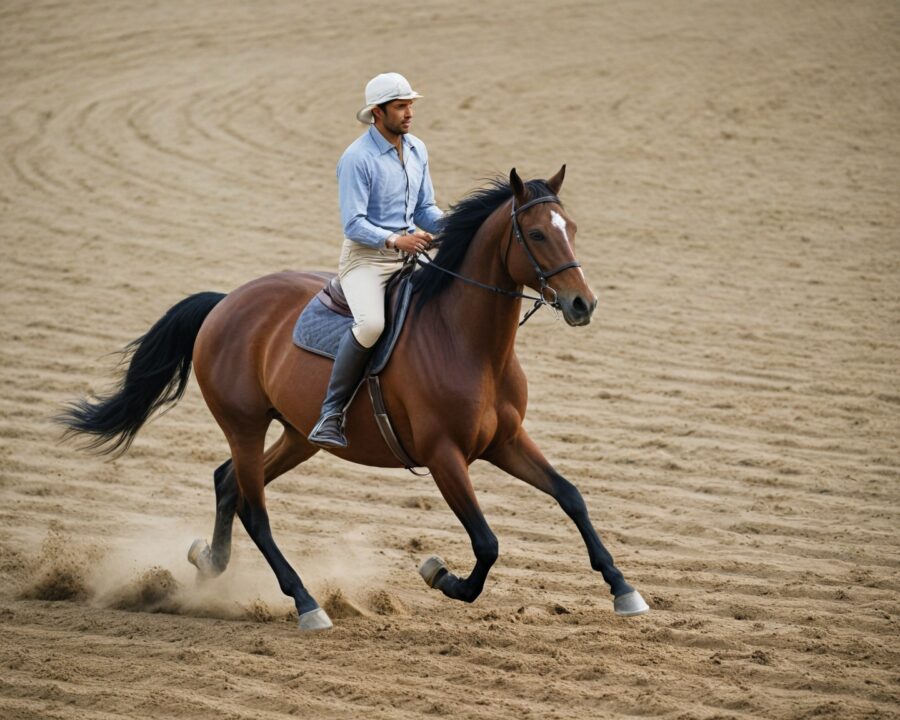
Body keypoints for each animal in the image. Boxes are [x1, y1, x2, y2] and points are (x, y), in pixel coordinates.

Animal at [59, 166, 649, 631]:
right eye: (536, 234)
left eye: (571, 230)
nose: (583, 304)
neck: (471, 344)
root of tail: (226, 302)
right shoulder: (444, 457)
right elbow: (487, 543)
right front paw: (440, 575)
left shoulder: (505, 442)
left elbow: (571, 496)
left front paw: (624, 590)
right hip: (245, 426)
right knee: (254, 509)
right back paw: (306, 604)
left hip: (300, 436)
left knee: (228, 483)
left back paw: (210, 564)